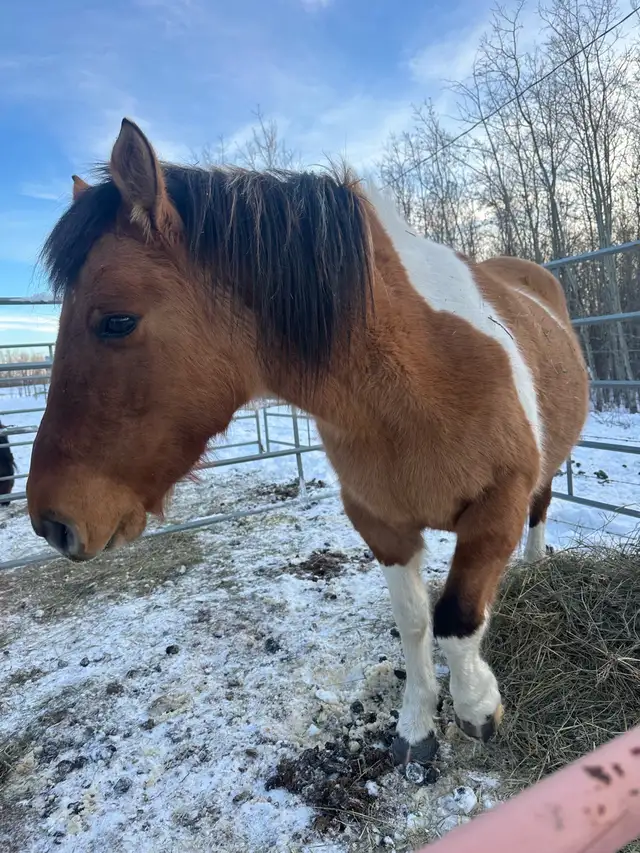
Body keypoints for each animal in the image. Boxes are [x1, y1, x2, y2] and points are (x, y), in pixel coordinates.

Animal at [27, 118, 589, 766]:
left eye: (116, 321)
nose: (51, 522)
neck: (421, 377)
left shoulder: (498, 505)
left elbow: (457, 616)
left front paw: (478, 710)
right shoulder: (381, 524)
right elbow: (415, 622)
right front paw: (416, 726)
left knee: (541, 508)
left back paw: (535, 565)